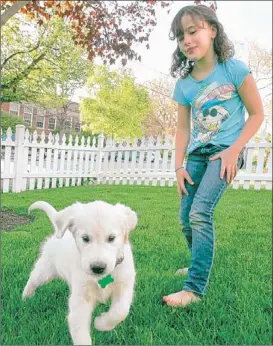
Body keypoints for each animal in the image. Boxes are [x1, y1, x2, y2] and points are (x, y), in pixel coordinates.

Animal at [22, 200, 137, 346]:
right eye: (85, 238)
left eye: (111, 238)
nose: (98, 267)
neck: (100, 278)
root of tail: (58, 232)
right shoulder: (81, 299)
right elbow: (80, 331)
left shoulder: (124, 285)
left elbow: (120, 311)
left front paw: (100, 323)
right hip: (45, 269)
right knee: (33, 279)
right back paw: (25, 297)